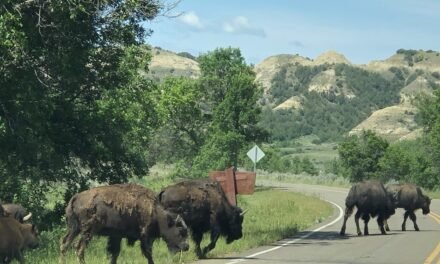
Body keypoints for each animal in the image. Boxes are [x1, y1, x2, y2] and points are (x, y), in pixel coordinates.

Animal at [59, 183, 189, 264]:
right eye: (181, 231)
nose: (186, 246)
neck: (155, 210)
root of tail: (75, 197)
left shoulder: (116, 236)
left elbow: (115, 253)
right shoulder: (145, 235)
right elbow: (148, 253)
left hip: (74, 229)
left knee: (64, 244)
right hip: (88, 231)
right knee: (79, 248)